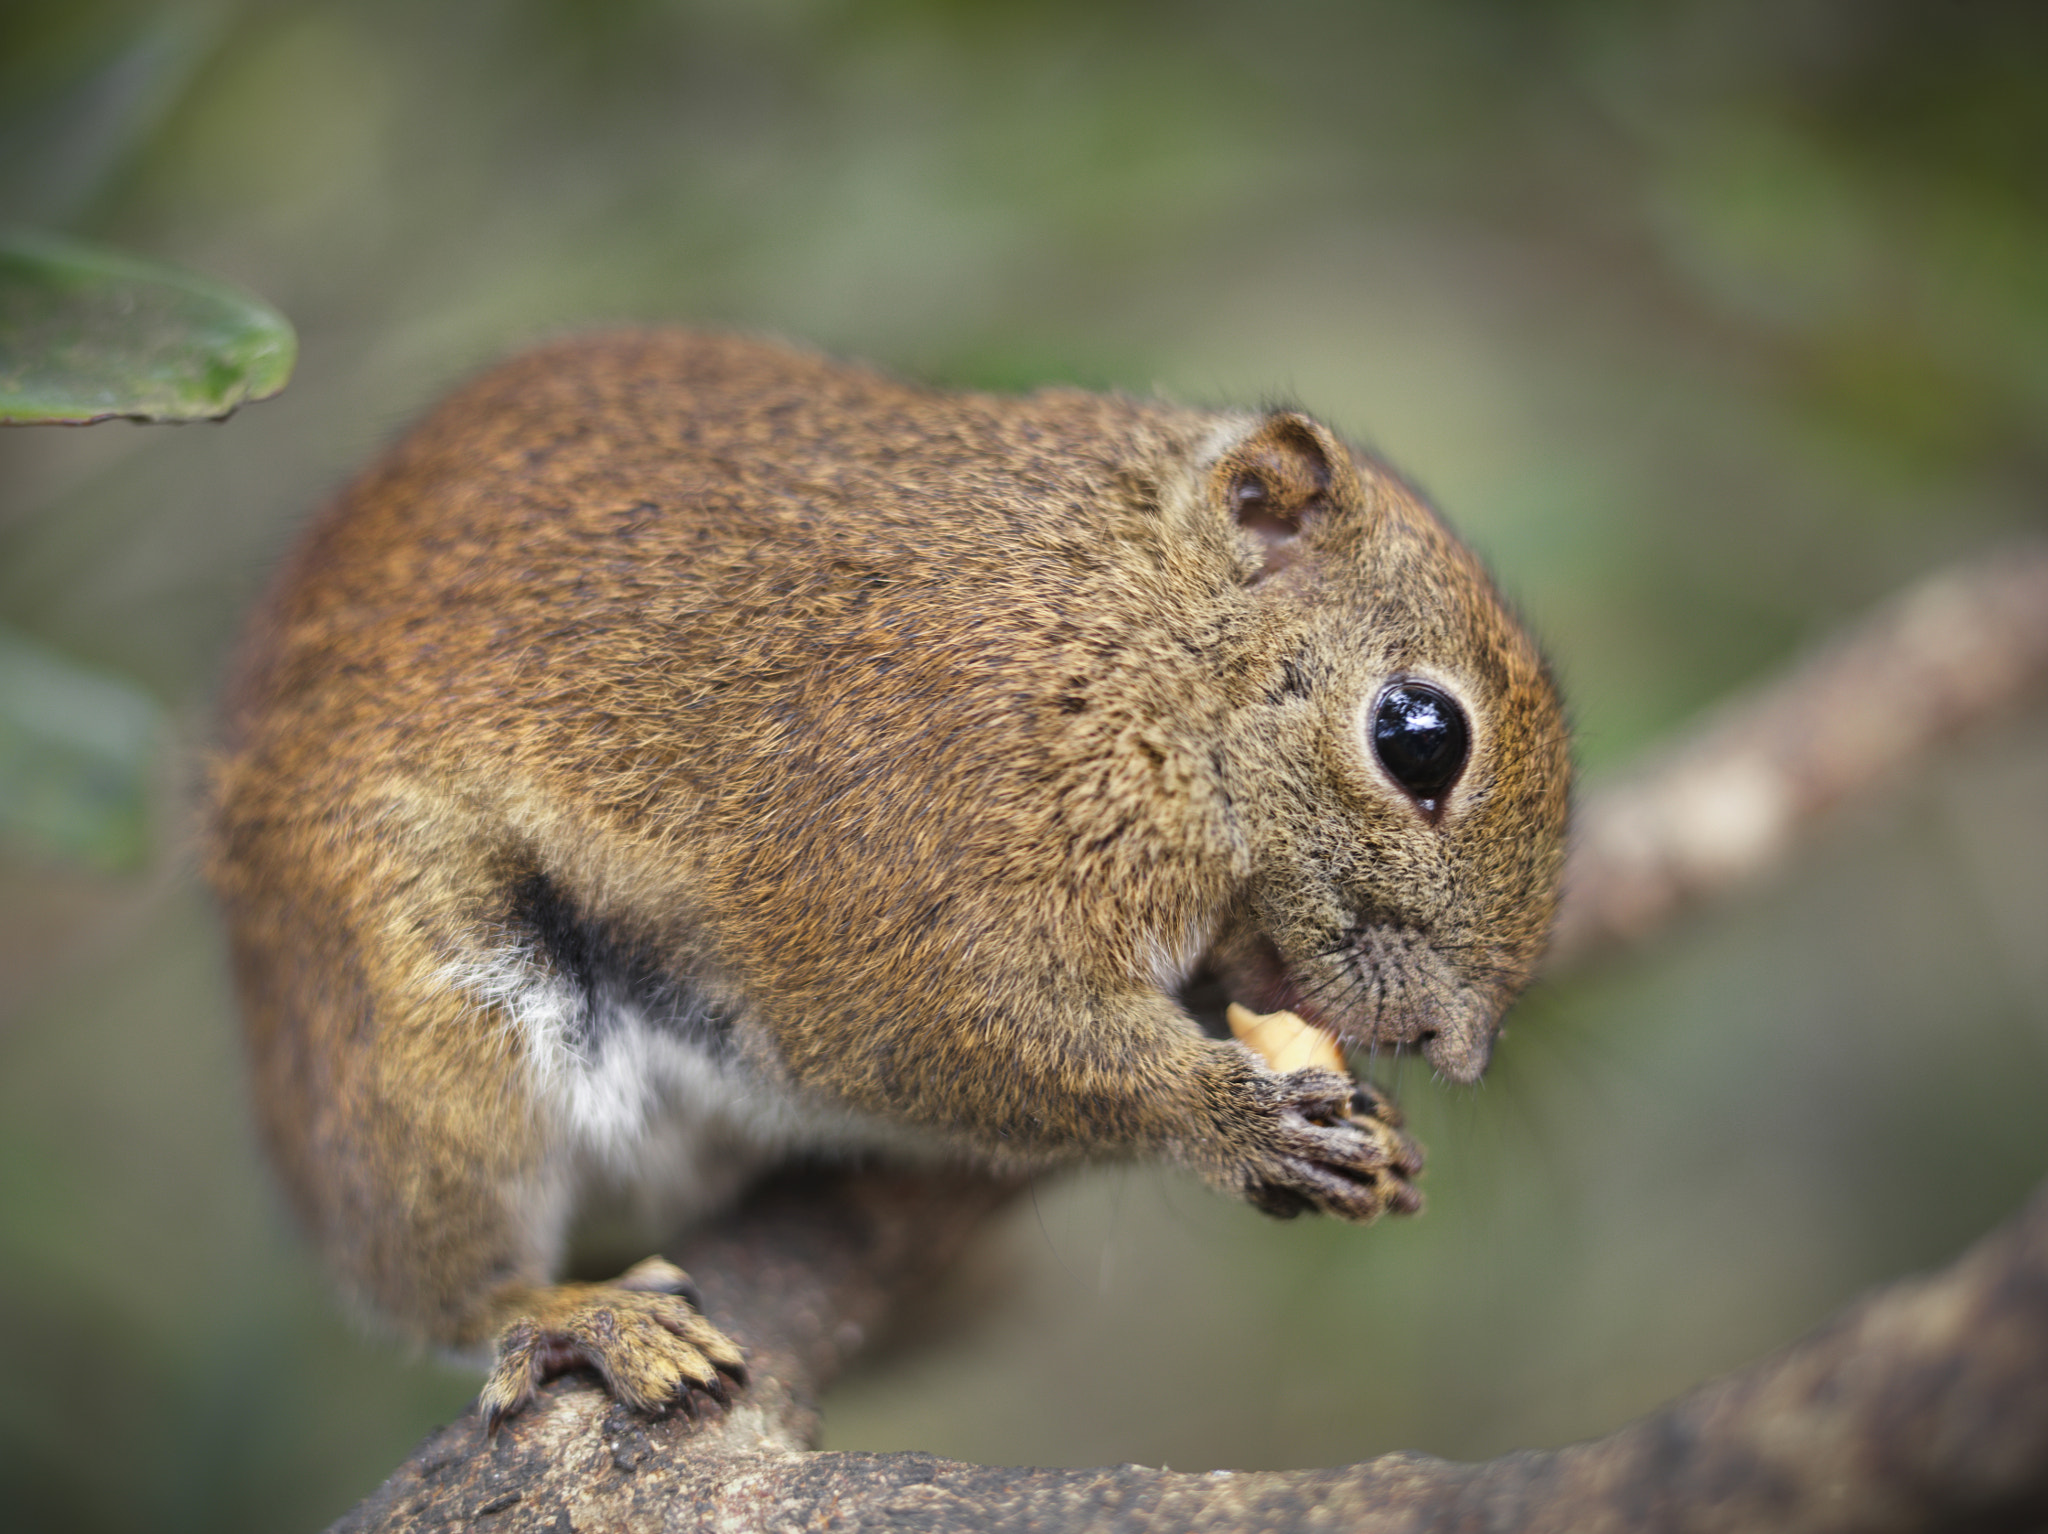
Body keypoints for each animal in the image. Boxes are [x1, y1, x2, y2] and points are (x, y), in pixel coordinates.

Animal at [203, 331, 1564, 1425]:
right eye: (1418, 735)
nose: (1455, 1053)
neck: (1124, 629)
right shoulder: (909, 831)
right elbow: (957, 1031)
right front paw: (1234, 1120)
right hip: (419, 1034)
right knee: (436, 1282)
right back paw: (566, 1312)